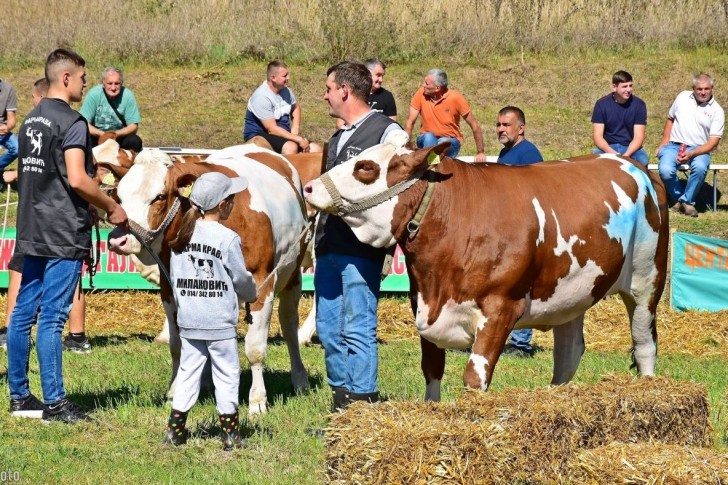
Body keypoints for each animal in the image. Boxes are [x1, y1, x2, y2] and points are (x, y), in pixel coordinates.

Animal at [108, 144, 312, 412]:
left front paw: (257, 401)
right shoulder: (170, 288)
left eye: (159, 196)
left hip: (293, 275)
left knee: (289, 326)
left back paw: (300, 379)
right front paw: (176, 390)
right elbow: (177, 345)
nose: (117, 240)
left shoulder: (262, 283)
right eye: (118, 196)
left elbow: (256, 348)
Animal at [302, 142, 672, 398]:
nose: (309, 187)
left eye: (364, 167)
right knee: (568, 353)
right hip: (572, 295)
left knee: (644, 344)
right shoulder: (423, 305)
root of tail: (636, 166)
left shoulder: (501, 308)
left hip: (646, 282)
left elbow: (475, 378)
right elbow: (431, 370)